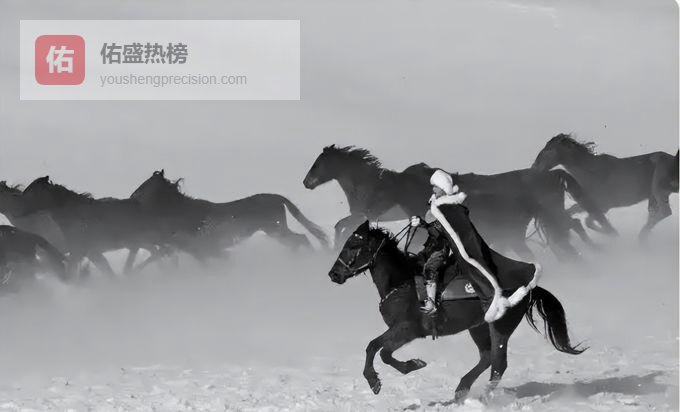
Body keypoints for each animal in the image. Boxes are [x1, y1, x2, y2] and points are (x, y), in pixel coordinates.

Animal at [20, 176, 168, 277]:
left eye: (31, 193)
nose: (19, 210)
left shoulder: (81, 252)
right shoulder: (89, 253)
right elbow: (106, 271)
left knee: (162, 250)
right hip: (138, 241)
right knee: (157, 251)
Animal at [128, 170, 328, 267]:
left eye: (147, 185)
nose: (132, 196)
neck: (183, 212)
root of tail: (278, 198)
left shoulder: (203, 250)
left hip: (276, 230)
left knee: (300, 239)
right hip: (277, 230)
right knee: (298, 240)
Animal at [303, 145, 612, 260]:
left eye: (319, 163)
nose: (306, 182)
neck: (370, 183)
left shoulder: (365, 212)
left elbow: (340, 226)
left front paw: (331, 245)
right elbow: (342, 226)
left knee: (569, 228)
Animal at [328, 221, 585, 402]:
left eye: (353, 245)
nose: (334, 274)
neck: (402, 283)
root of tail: (527, 287)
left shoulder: (407, 329)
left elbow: (382, 352)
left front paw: (409, 367)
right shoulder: (397, 329)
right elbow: (374, 347)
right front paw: (378, 380)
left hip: (500, 327)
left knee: (498, 365)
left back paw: (484, 398)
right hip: (478, 328)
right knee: (487, 357)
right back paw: (462, 389)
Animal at [532, 134, 679, 239]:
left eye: (549, 150)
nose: (535, 167)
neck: (590, 172)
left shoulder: (603, 205)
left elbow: (589, 221)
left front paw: (612, 233)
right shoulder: (589, 203)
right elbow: (575, 214)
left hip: (658, 189)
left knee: (665, 212)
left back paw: (641, 237)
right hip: (653, 196)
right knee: (654, 213)